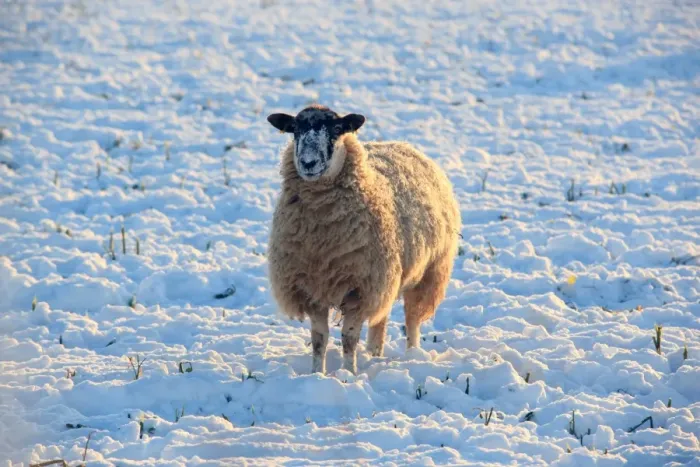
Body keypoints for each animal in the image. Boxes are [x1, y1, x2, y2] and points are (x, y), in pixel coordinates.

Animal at [266, 104, 461, 374]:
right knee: (381, 318)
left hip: (429, 272)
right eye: (294, 129)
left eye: (337, 128)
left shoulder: (360, 288)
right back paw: (375, 353)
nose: (308, 162)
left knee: (412, 318)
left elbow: (348, 338)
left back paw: (413, 355)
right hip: (388, 276)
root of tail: (399, 144)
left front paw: (349, 373)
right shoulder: (312, 286)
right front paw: (317, 373)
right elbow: (319, 339)